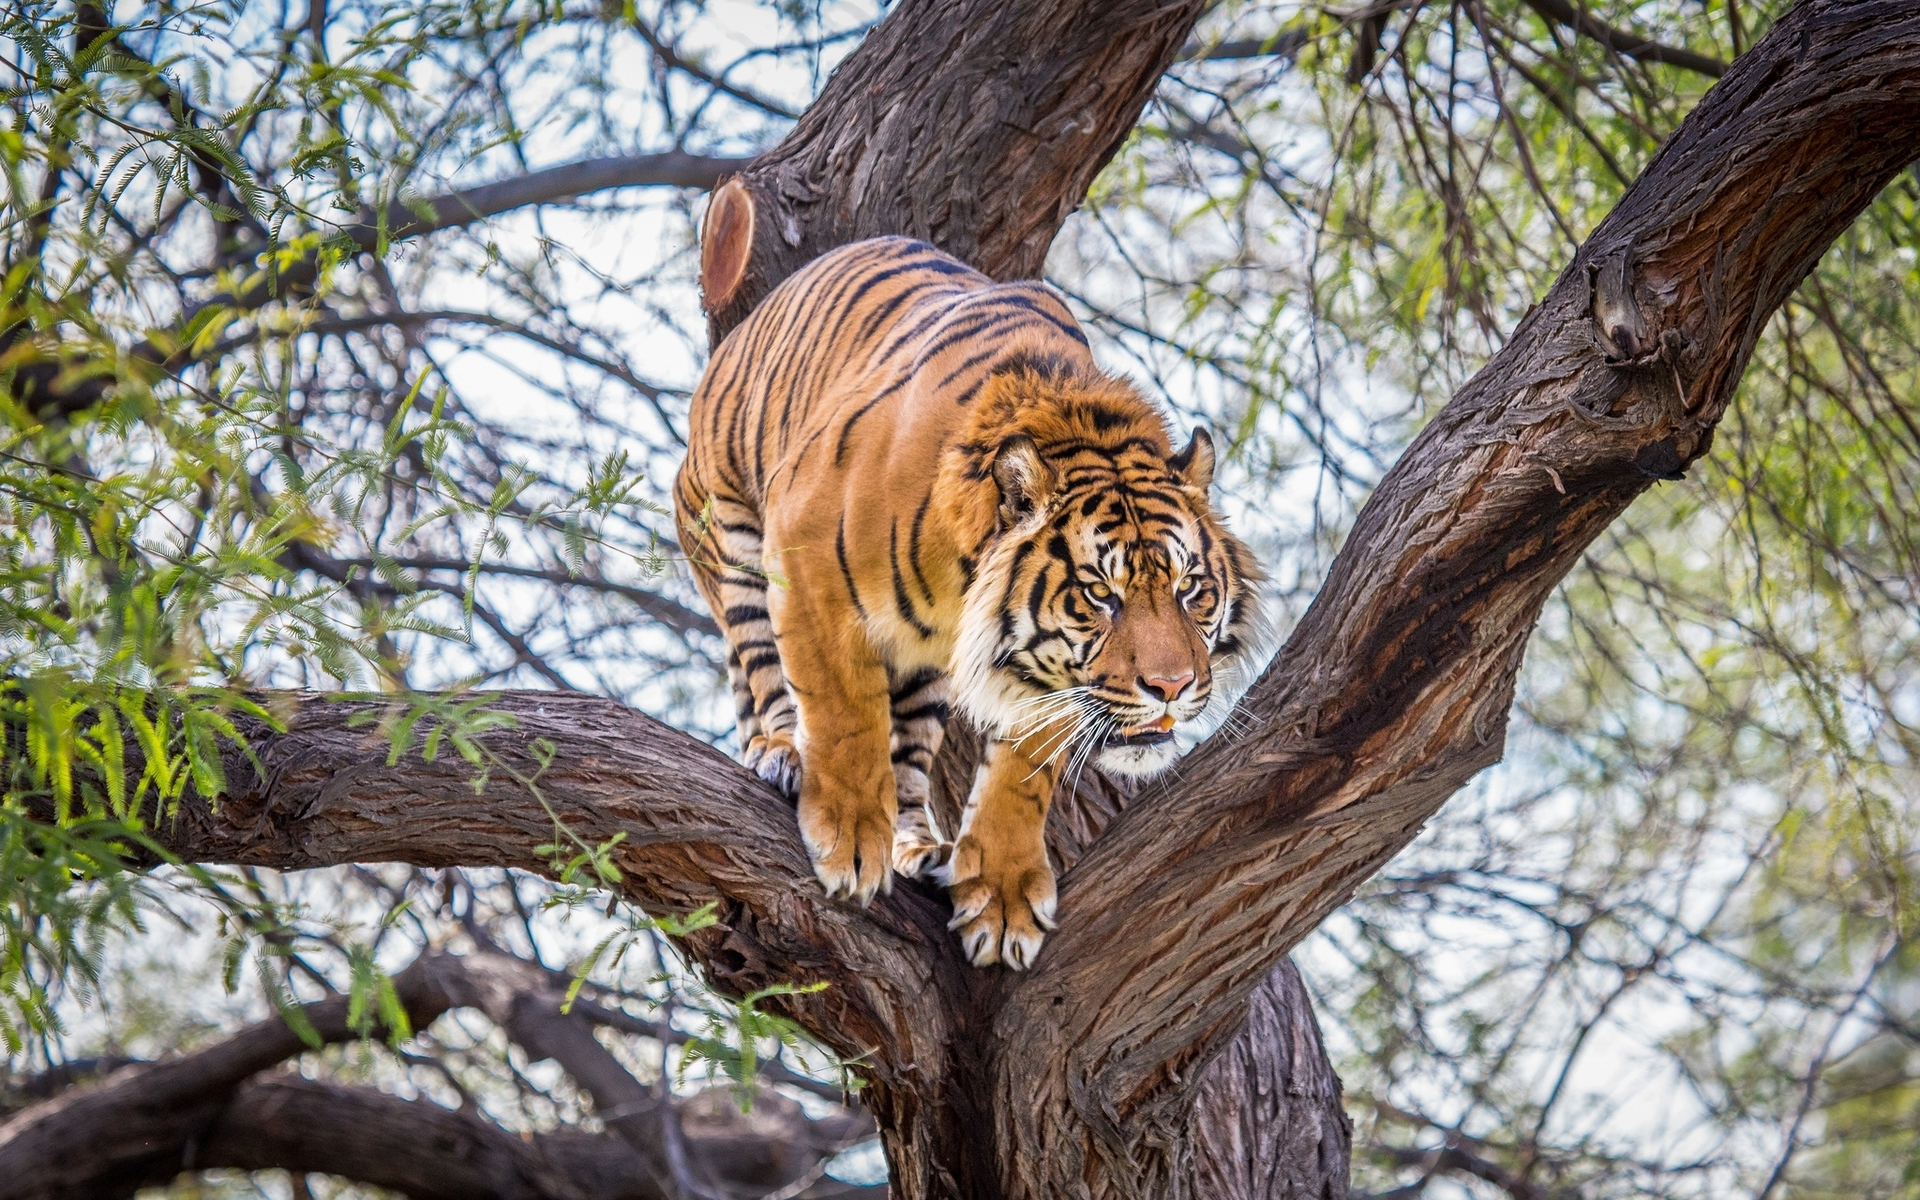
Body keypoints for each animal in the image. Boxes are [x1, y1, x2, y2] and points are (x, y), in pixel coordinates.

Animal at [668, 239, 1267, 967]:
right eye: (1101, 593)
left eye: (1189, 590)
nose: (1172, 687)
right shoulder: (806, 560)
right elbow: (844, 711)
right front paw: (849, 837)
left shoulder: (1046, 678)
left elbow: (1022, 772)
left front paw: (1002, 898)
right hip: (728, 530)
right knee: (761, 669)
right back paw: (784, 753)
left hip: (926, 671)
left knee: (908, 758)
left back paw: (919, 846)